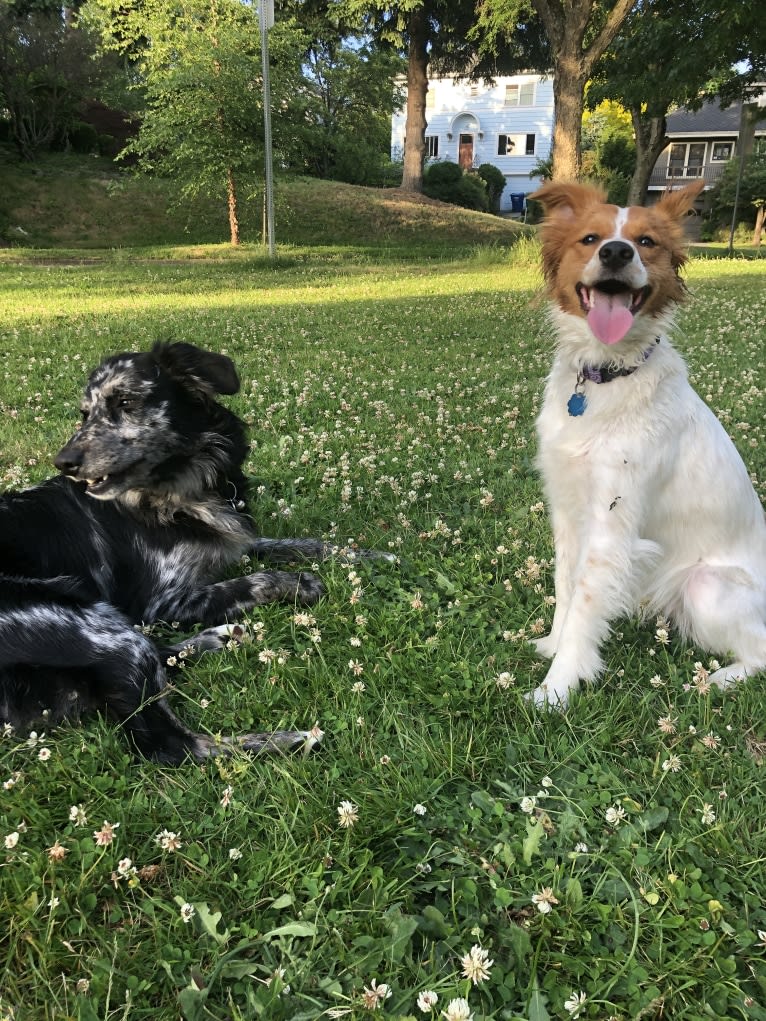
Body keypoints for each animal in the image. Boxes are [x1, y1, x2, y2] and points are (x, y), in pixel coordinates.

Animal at [0, 345, 381, 767]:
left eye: (125, 402)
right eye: (86, 414)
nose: (63, 461)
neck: (180, 487)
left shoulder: (234, 540)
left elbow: (304, 544)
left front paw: (373, 555)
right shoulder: (160, 604)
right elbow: (253, 581)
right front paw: (301, 583)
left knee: (161, 657)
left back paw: (222, 637)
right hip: (95, 623)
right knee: (173, 743)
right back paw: (290, 739)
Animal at [527, 181, 766, 702]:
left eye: (647, 242)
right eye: (590, 238)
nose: (617, 252)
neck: (606, 375)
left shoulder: (611, 525)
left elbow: (584, 606)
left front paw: (557, 688)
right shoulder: (567, 511)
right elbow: (565, 587)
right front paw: (552, 645)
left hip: (705, 585)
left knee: (760, 654)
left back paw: (716, 680)